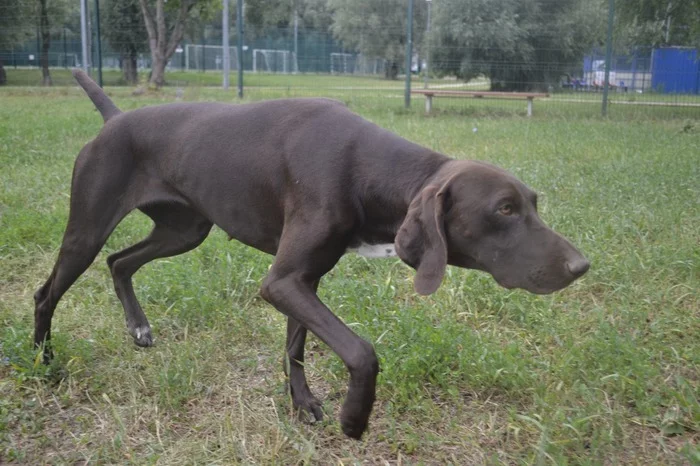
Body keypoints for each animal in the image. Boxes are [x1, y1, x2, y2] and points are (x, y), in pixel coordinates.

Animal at [34, 69, 592, 436]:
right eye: (504, 209)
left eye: (533, 203)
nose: (581, 266)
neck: (365, 167)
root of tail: (115, 119)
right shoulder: (283, 282)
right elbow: (361, 351)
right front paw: (354, 417)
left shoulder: (303, 281)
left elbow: (296, 347)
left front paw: (301, 404)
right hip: (87, 229)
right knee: (48, 291)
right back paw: (43, 362)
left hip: (184, 230)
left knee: (119, 261)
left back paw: (137, 327)